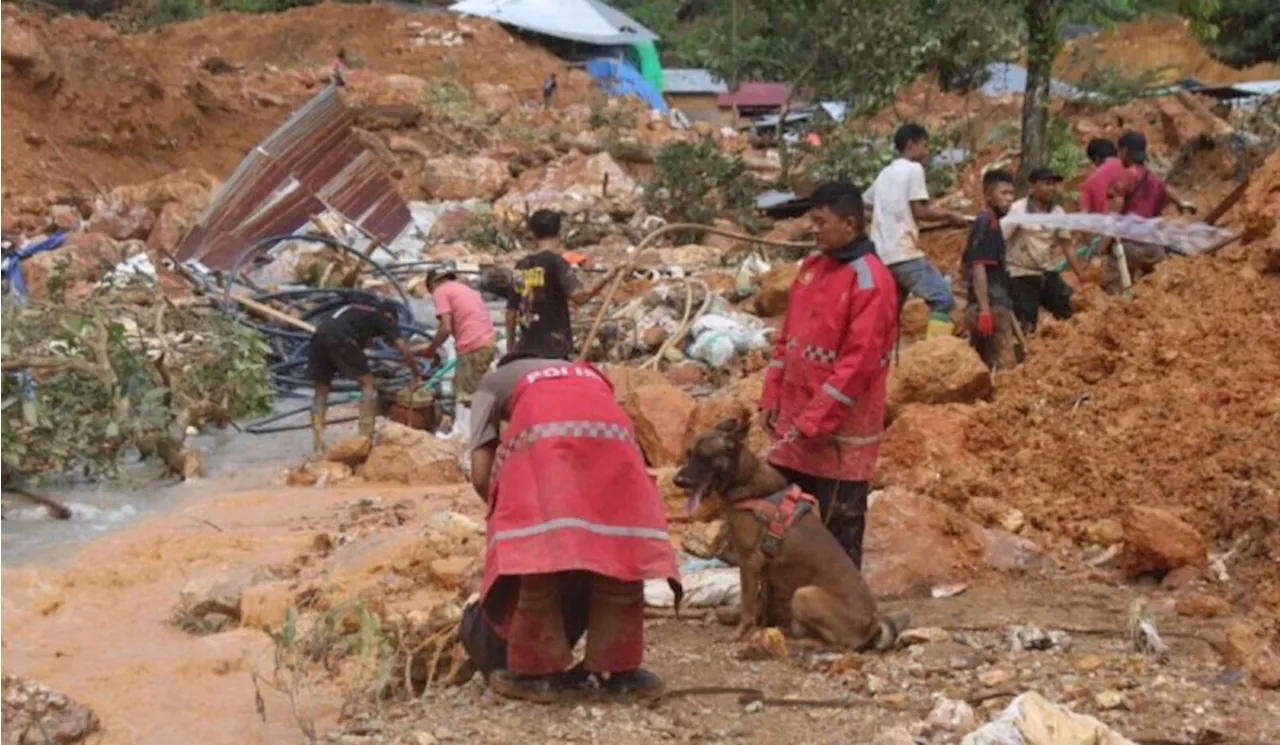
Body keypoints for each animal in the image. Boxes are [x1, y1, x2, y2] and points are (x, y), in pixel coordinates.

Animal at [675, 419, 906, 655]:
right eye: (690, 454)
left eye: (705, 457)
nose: (678, 480)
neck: (747, 480)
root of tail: (873, 623)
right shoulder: (765, 568)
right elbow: (763, 601)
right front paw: (761, 625)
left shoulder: (749, 561)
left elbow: (748, 604)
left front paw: (738, 633)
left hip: (804, 594)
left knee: (840, 644)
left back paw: (804, 642)